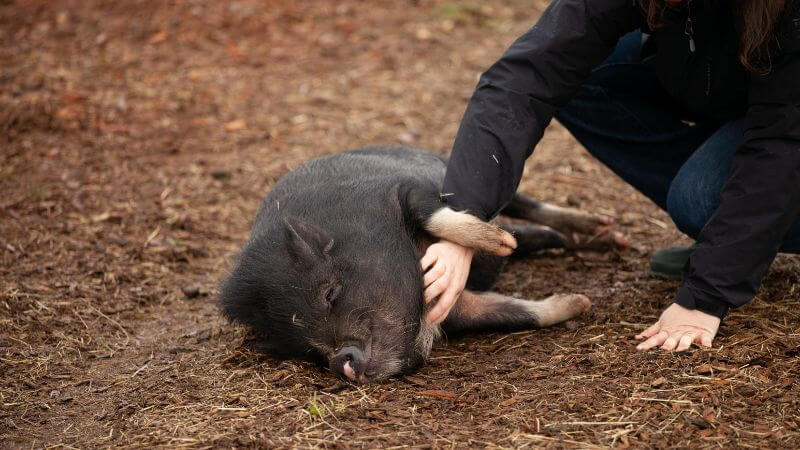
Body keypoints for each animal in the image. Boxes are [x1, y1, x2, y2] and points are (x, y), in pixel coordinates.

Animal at [222, 149, 620, 384]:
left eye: (330, 293)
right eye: (305, 348)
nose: (340, 362)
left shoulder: (405, 189)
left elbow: (438, 215)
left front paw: (499, 243)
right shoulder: (458, 309)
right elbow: (516, 313)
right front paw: (579, 301)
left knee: (528, 205)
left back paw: (604, 232)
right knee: (536, 233)